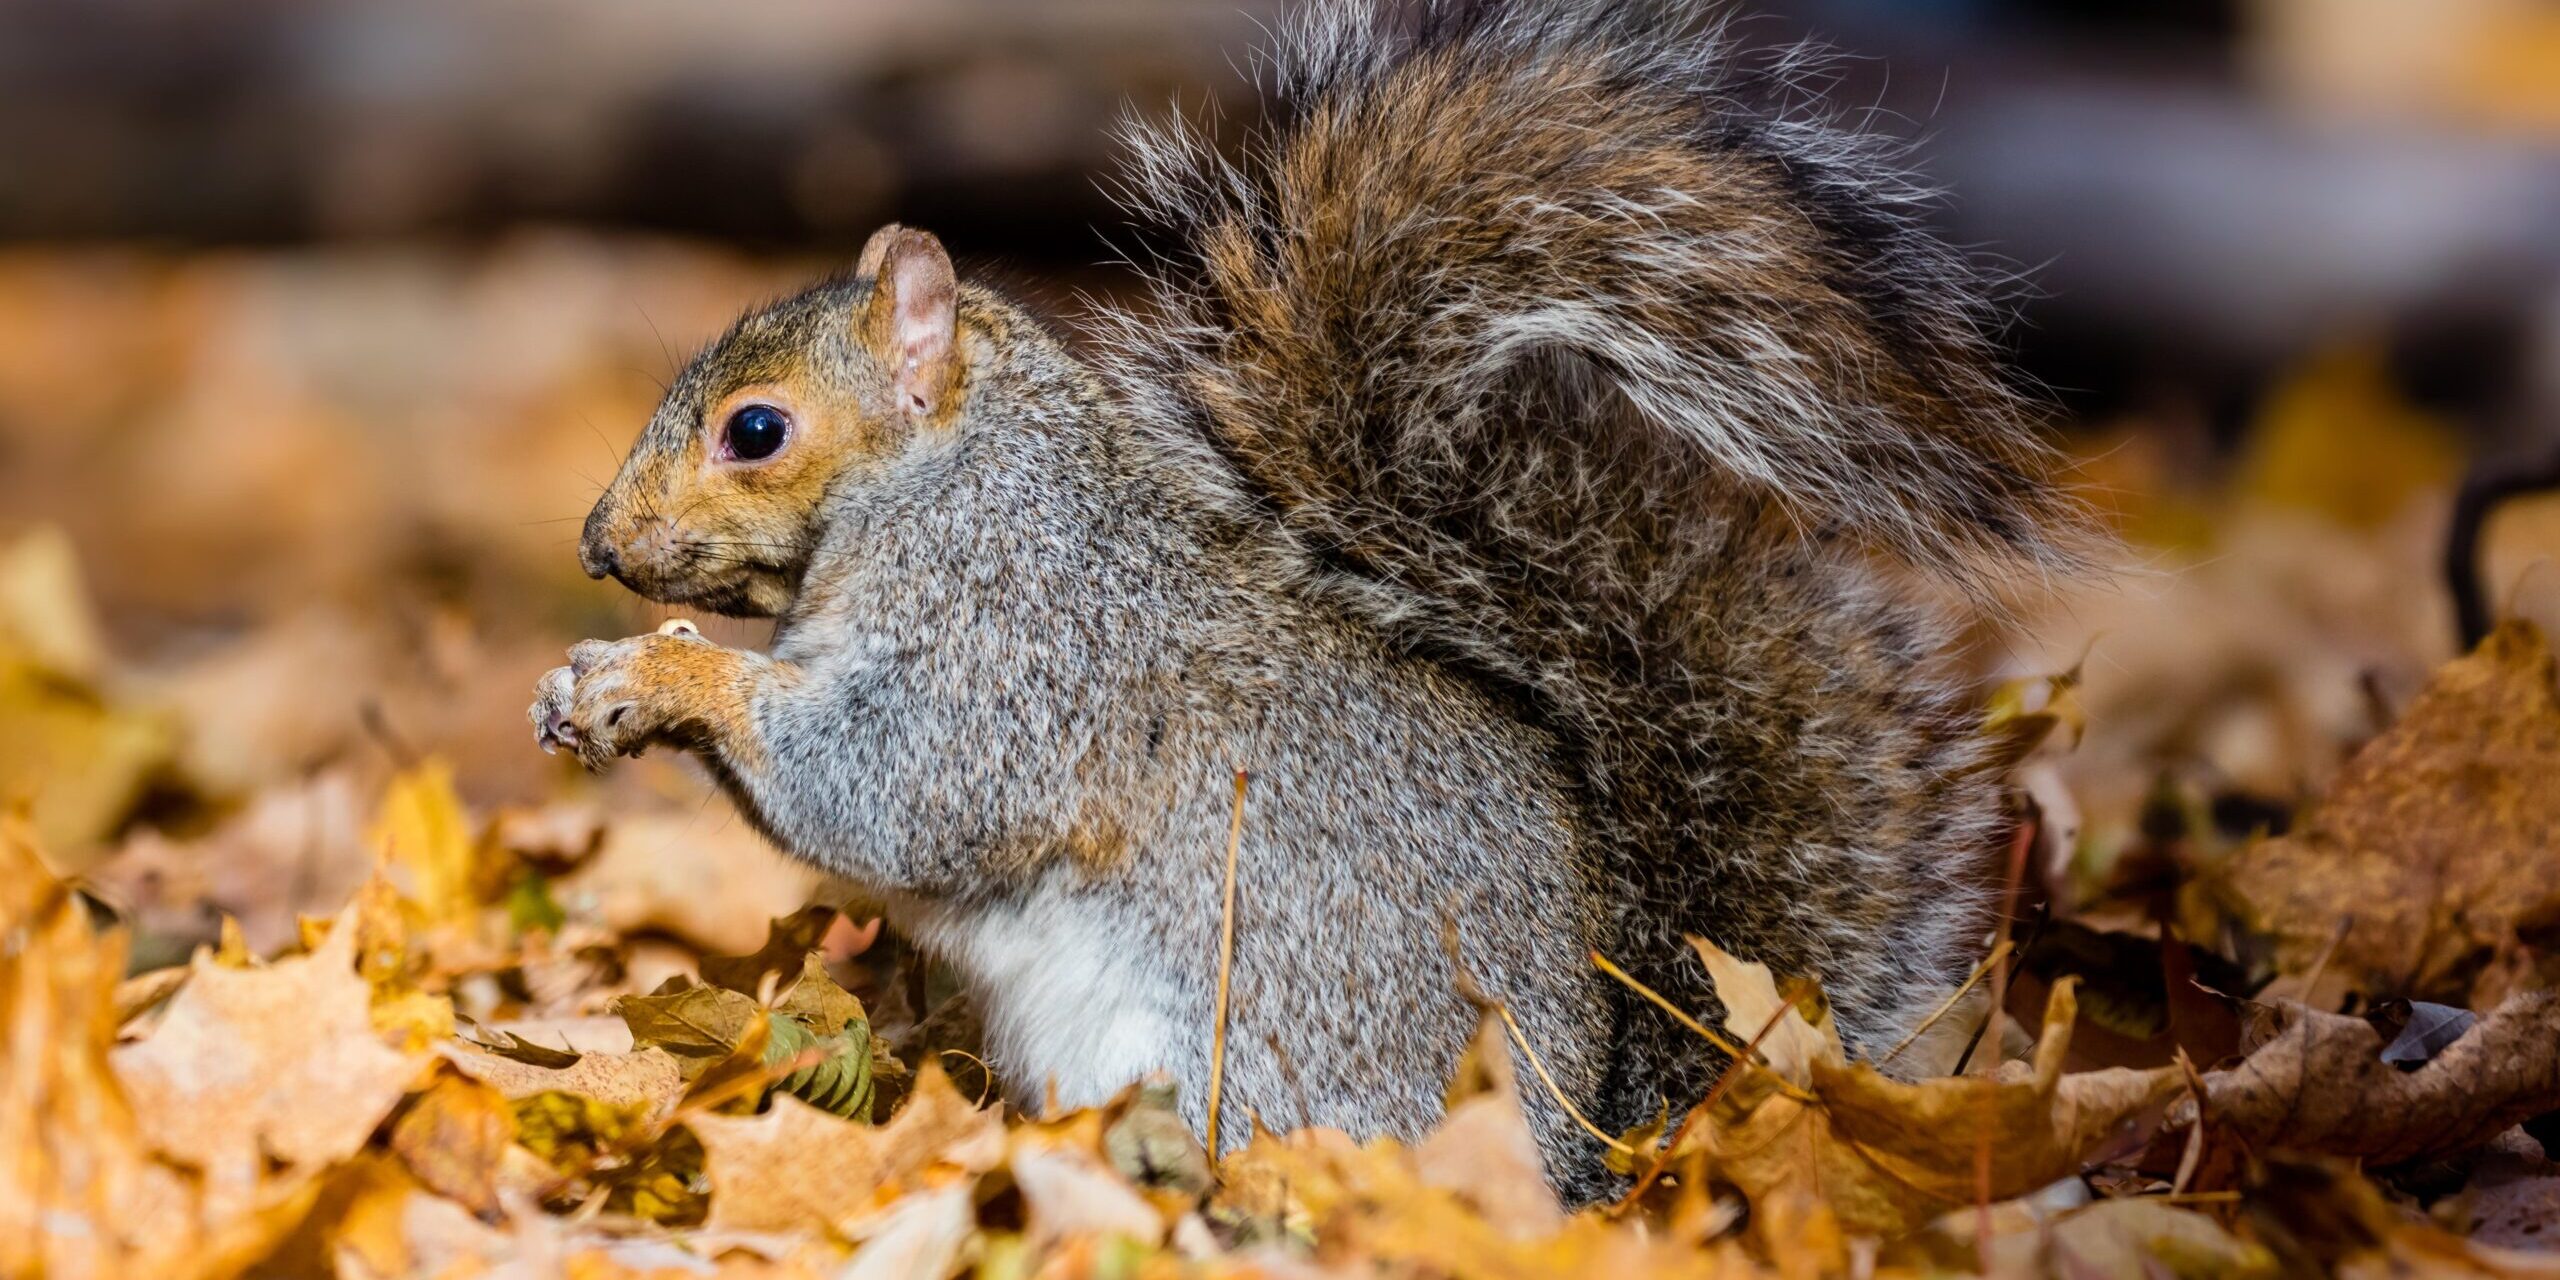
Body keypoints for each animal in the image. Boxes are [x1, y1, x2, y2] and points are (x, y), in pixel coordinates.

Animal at [530, 0, 2088, 1198]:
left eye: (755, 430)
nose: (601, 544)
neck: (956, 488)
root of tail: (1592, 1164)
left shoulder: (1027, 650)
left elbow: (894, 789)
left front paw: (661, 677)